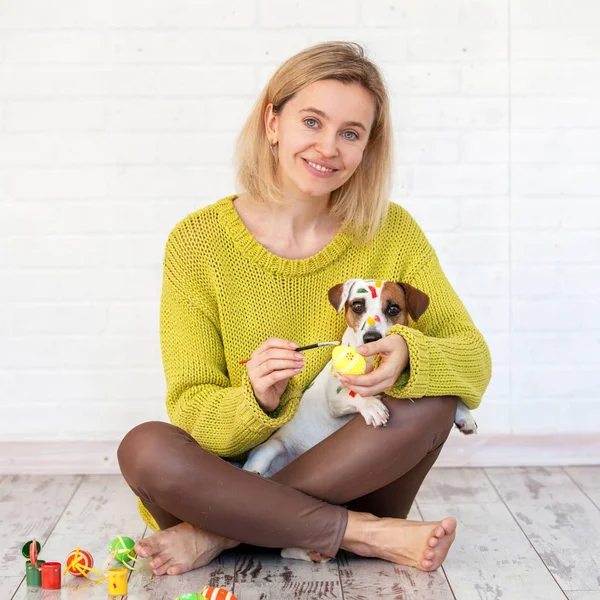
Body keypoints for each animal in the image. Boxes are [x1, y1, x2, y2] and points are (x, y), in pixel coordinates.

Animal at [241, 278, 476, 560]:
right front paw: (372, 406)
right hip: (270, 450)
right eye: (357, 305)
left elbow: (444, 391)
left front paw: (464, 414)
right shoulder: (335, 399)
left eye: (393, 308)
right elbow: (357, 395)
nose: (371, 337)